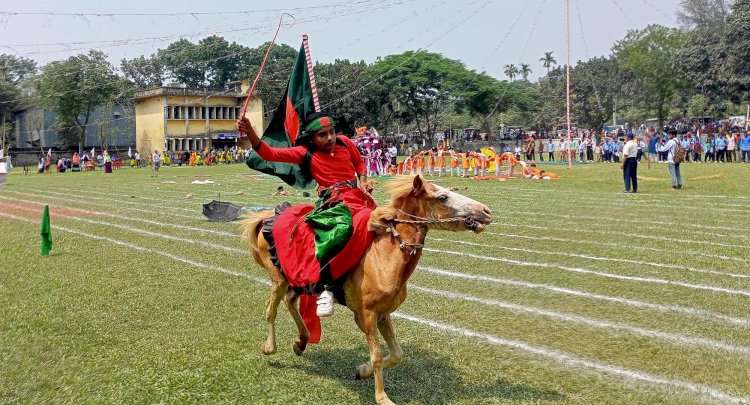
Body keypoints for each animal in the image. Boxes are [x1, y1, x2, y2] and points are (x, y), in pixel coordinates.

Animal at [241, 174, 496, 404]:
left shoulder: (382, 314)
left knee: (290, 301)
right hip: (279, 279)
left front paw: (361, 371)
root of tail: (268, 217)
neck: (384, 257)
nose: (486, 211)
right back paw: (270, 347)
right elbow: (376, 356)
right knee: (270, 308)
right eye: (442, 197)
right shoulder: (367, 314)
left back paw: (301, 341)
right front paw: (382, 397)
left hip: (298, 281)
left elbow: (396, 354)